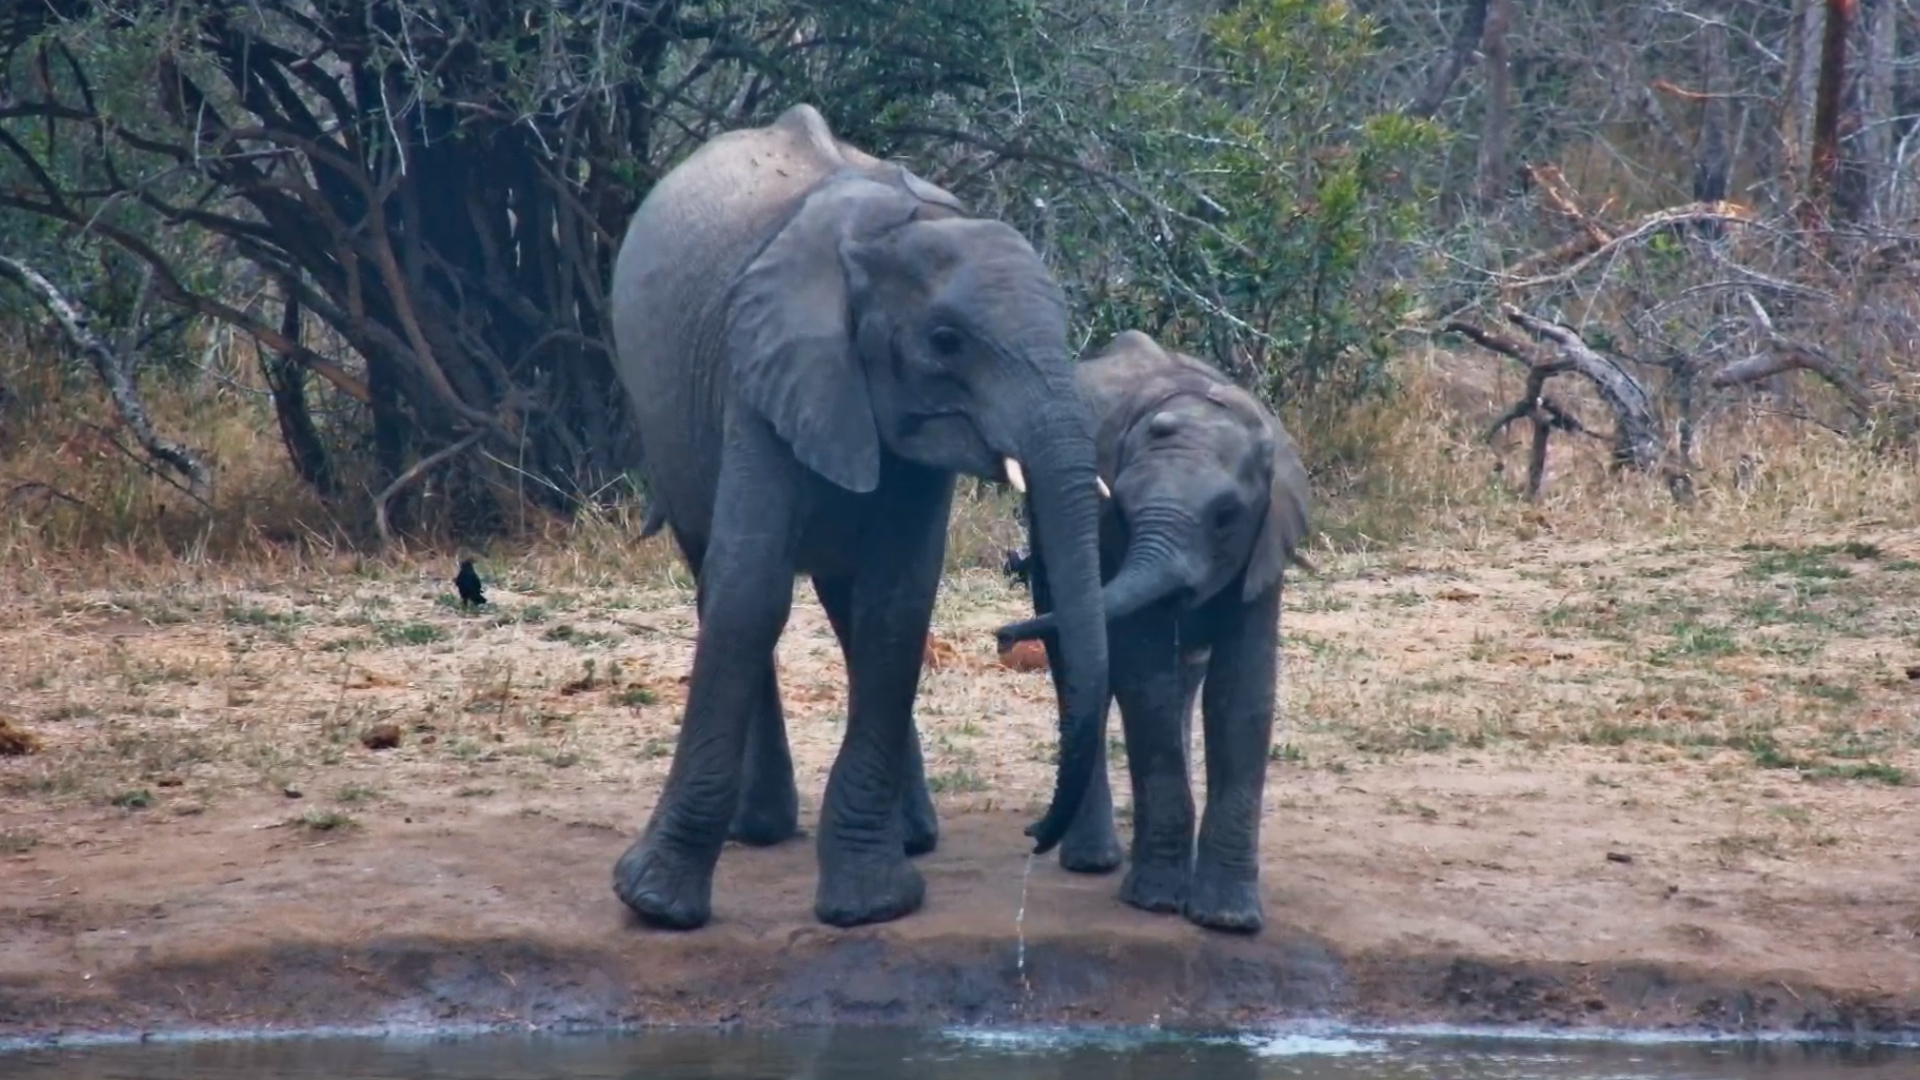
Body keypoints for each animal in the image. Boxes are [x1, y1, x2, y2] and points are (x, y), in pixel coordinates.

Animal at [606, 103, 1111, 931]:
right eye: (946, 342)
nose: (1038, 835)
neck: (888, 238)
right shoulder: (764, 371)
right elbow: (750, 593)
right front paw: (655, 907)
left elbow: (895, 608)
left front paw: (871, 906)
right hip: (671, 421)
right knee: (718, 578)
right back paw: (761, 830)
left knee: (850, 610)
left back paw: (911, 836)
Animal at [993, 330, 1310, 933]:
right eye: (1123, 507)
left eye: (1226, 516)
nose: (1000, 636)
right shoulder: (1112, 540)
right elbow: (1146, 684)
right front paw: (1157, 903)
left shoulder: (1263, 549)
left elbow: (1242, 694)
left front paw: (1227, 920)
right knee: (1082, 675)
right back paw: (1092, 862)